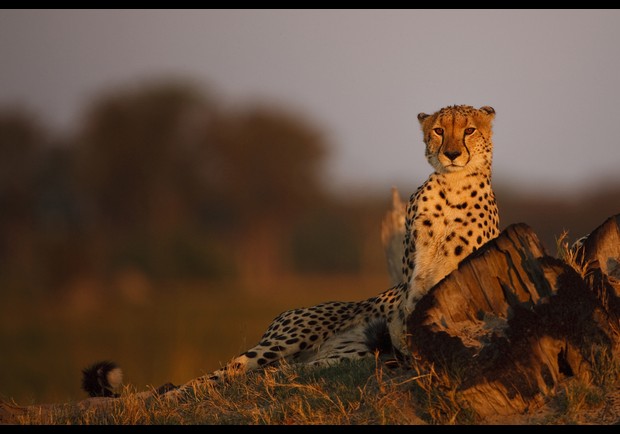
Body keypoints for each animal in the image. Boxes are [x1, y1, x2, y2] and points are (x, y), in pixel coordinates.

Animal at [82, 104, 502, 400]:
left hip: (330, 359)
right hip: (288, 340)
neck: (452, 187)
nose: (451, 153)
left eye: (469, 130)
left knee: (275, 374)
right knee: (228, 370)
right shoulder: (413, 276)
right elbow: (413, 303)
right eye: (438, 130)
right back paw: (174, 396)